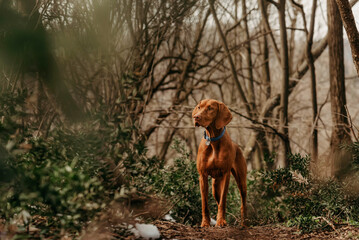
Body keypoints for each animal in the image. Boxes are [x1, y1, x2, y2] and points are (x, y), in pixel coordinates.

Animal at [194, 99, 248, 227]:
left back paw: (244, 223)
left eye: (210, 108)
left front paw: (221, 221)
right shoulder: (202, 176)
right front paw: (205, 223)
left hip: (241, 182)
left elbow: (223, 201)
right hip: (215, 187)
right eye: (199, 107)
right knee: (218, 201)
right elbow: (205, 203)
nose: (196, 117)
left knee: (243, 203)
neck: (213, 140)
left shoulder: (225, 175)